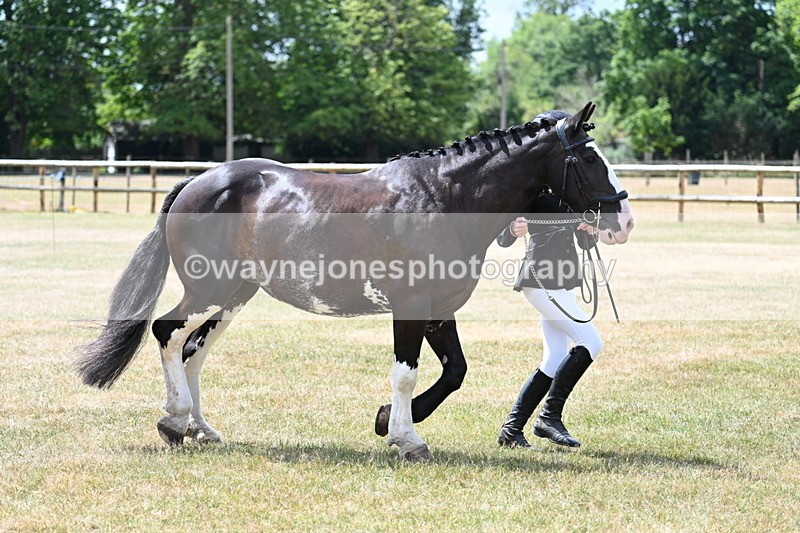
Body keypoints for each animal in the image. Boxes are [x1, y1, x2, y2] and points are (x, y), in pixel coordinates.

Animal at [75, 102, 634, 462]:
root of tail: (198, 181)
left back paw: (201, 428)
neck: (444, 197)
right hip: (206, 289)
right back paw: (174, 423)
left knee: (194, 349)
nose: (622, 221)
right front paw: (405, 438)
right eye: (589, 157)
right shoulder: (410, 305)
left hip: (234, 295)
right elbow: (407, 373)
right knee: (167, 334)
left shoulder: (439, 307)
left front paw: (389, 420)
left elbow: (453, 372)